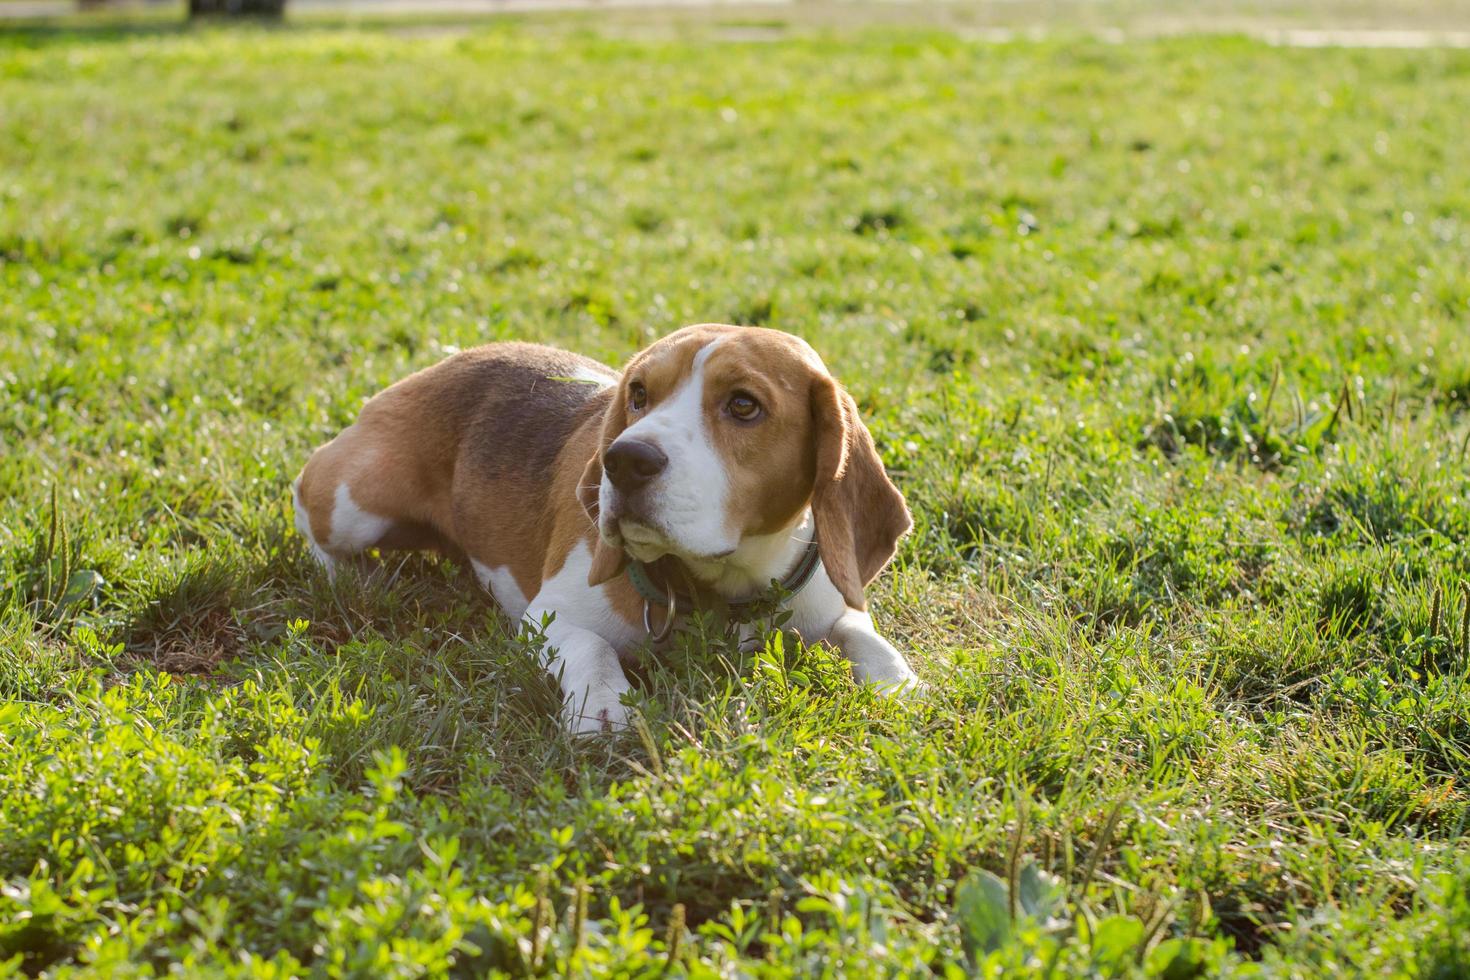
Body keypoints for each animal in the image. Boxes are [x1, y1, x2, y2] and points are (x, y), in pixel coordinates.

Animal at [289, 326, 917, 731]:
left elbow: (865, 637)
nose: (624, 460)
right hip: (353, 502)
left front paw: (901, 685)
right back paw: (351, 579)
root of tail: (449, 360)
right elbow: (592, 648)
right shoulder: (548, 619)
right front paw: (604, 707)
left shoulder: (827, 606)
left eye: (744, 406)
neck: (720, 588)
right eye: (638, 393)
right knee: (305, 501)